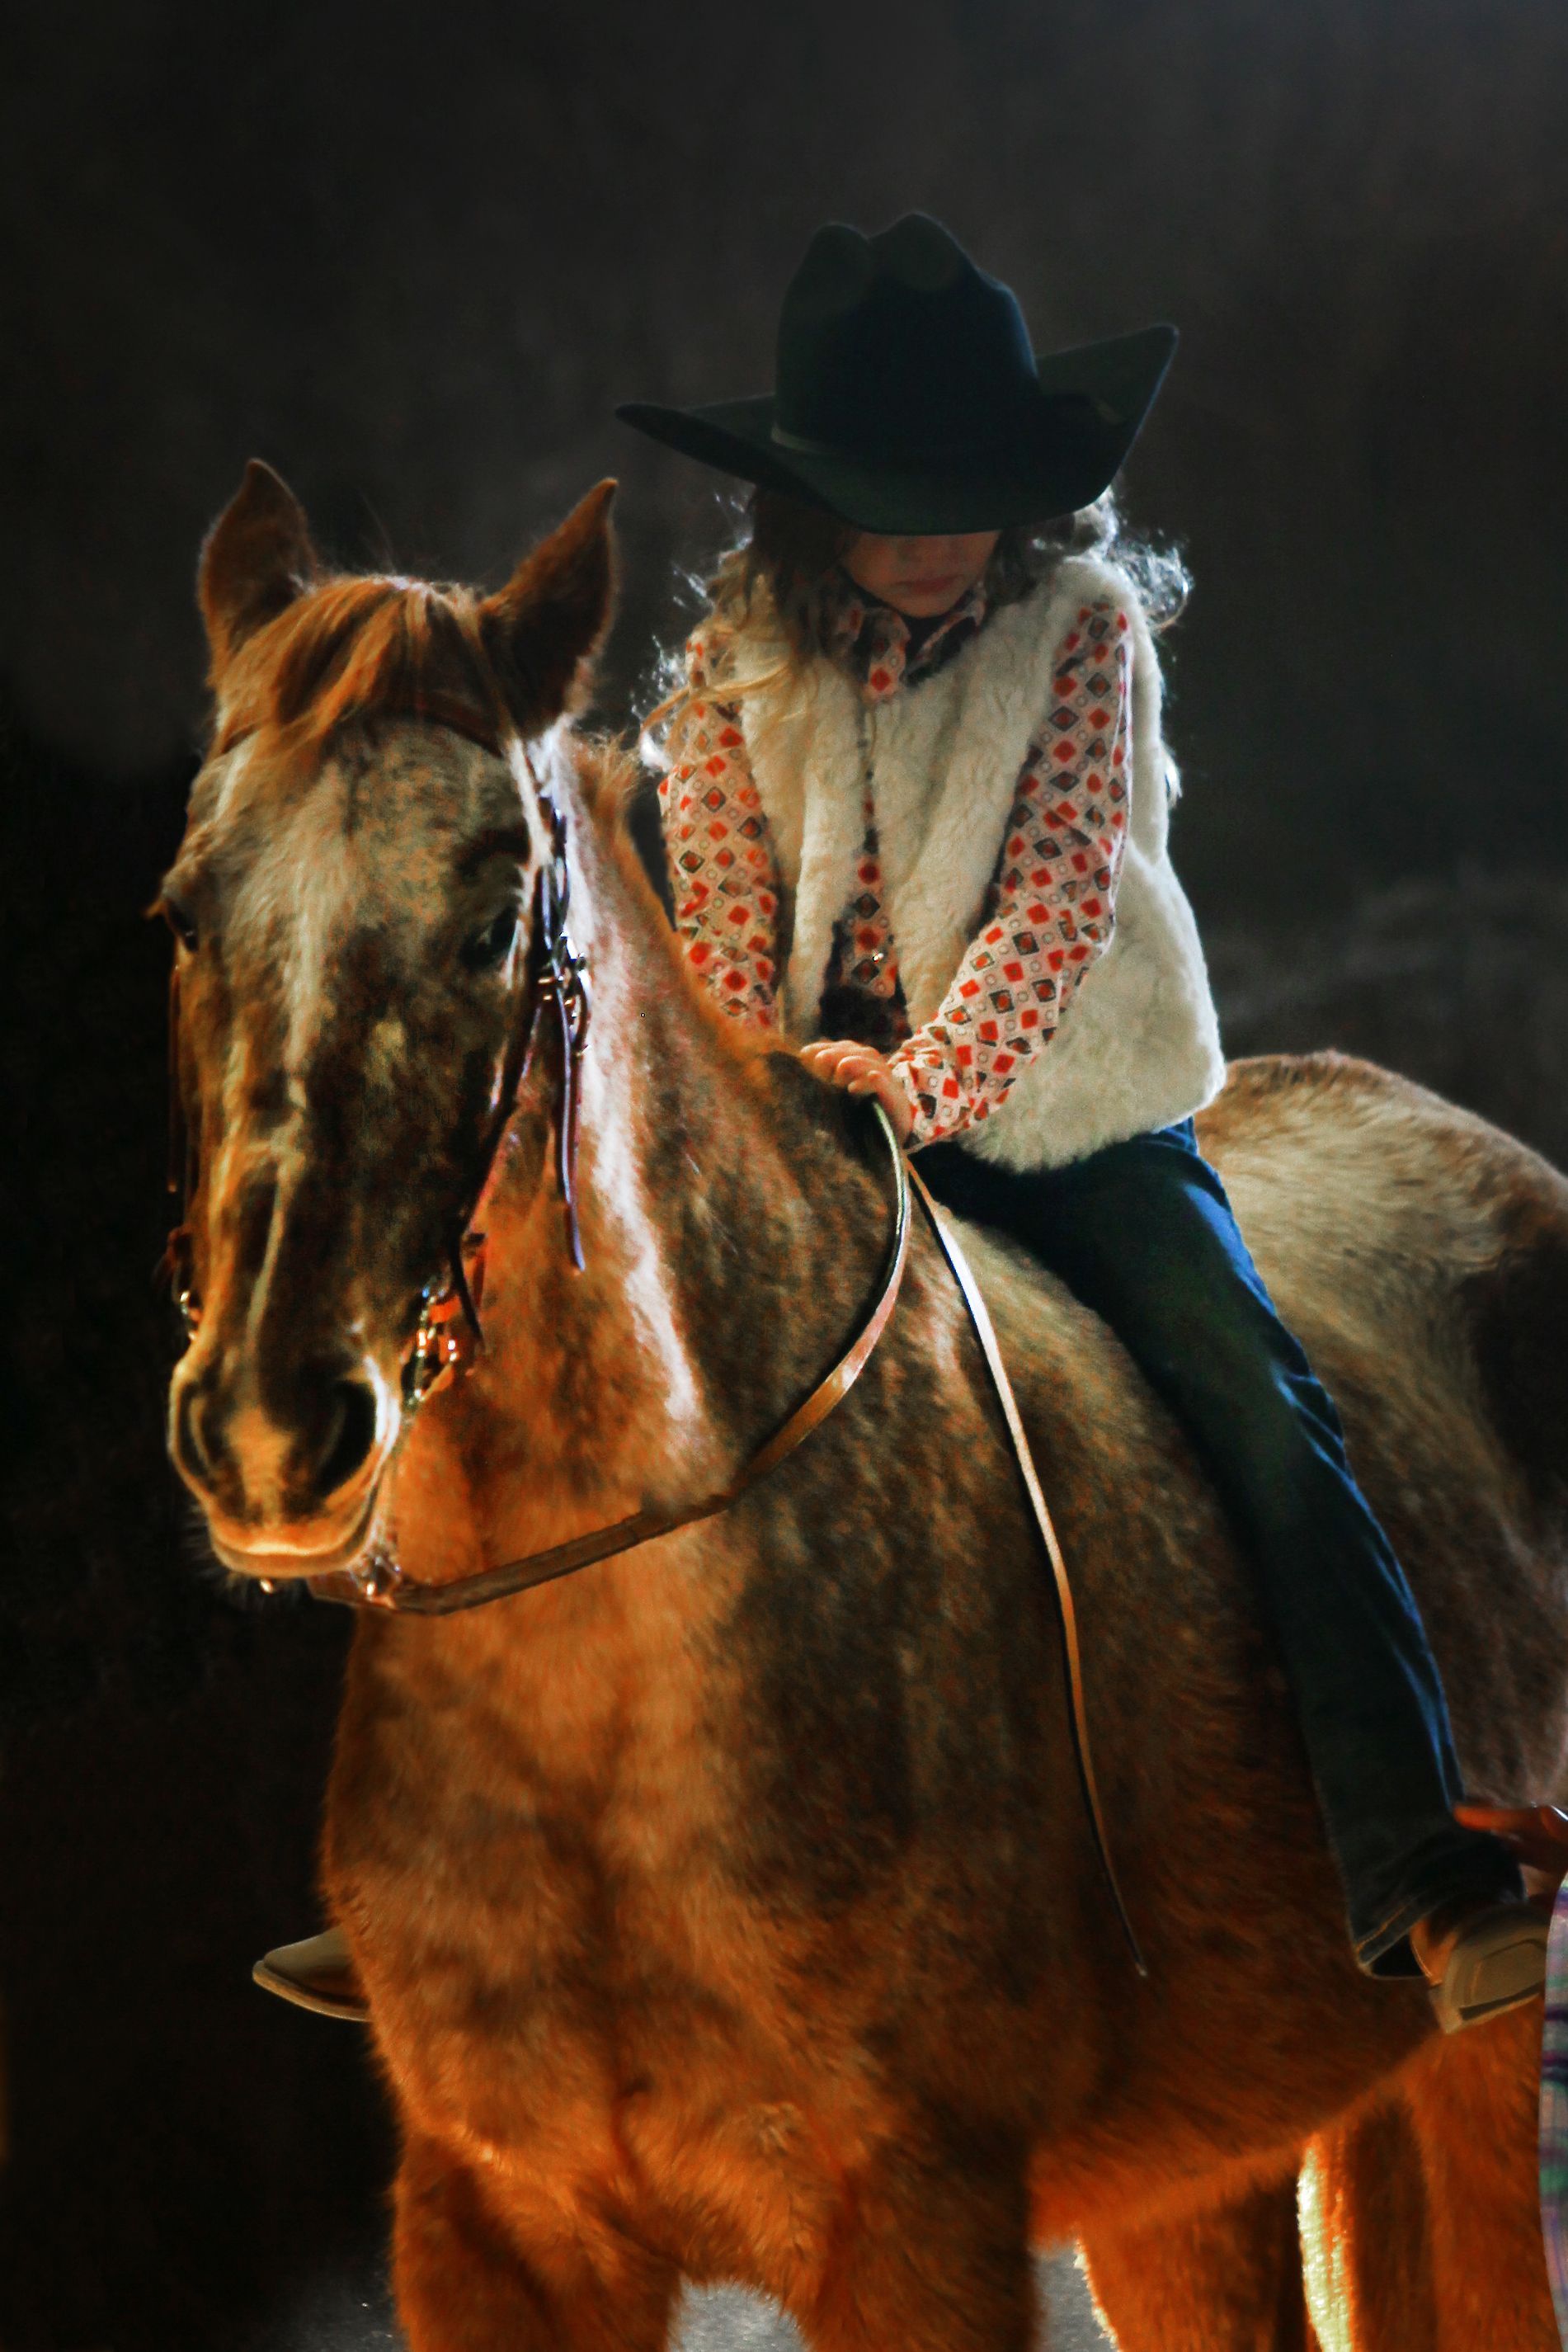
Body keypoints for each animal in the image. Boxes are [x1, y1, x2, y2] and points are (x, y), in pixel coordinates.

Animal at [160, 459, 1568, 2350]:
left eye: (487, 924)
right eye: (184, 913)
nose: (268, 1431)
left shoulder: (915, 2224)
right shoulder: (488, 2225)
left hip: (1483, 2056)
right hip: (1202, 2165)